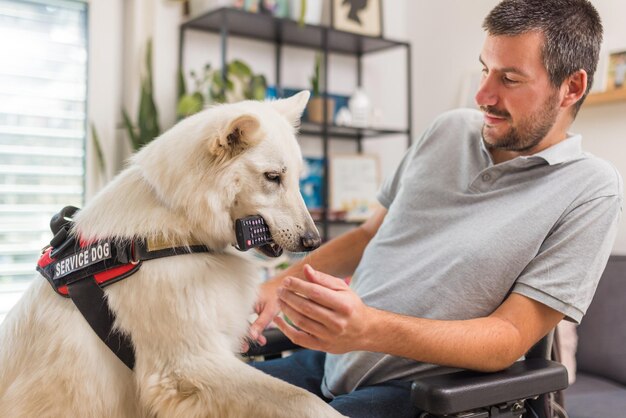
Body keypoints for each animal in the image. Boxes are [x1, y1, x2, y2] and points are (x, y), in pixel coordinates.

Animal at [0, 92, 346, 418]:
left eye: (297, 178)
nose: (313, 241)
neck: (177, 222)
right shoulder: (189, 365)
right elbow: (305, 400)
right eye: (273, 177)